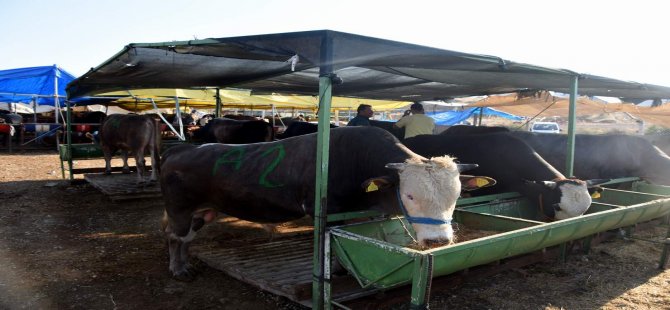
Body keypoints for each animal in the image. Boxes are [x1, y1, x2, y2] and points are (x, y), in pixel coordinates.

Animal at [161, 126, 486, 280]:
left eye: (456, 195)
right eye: (409, 196)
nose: (438, 241)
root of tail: (180, 149)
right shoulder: (327, 211)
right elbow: (331, 245)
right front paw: (337, 271)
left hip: (203, 210)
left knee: (186, 237)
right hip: (179, 209)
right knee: (175, 237)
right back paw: (178, 269)